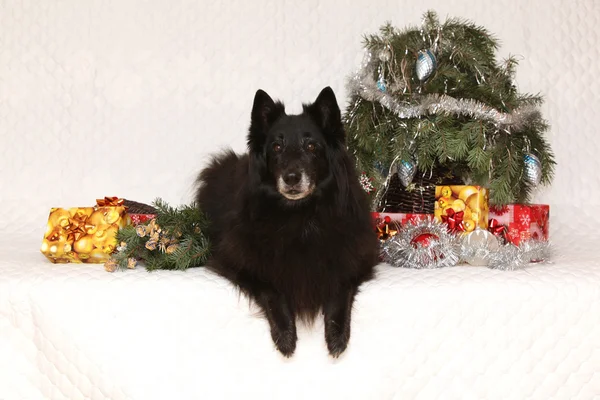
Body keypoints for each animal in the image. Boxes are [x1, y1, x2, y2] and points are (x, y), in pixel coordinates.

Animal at [195, 86, 378, 356]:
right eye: (277, 147)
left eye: (311, 146)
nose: (292, 178)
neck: (299, 215)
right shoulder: (238, 261)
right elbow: (271, 288)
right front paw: (285, 334)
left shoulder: (354, 259)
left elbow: (339, 288)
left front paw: (337, 335)